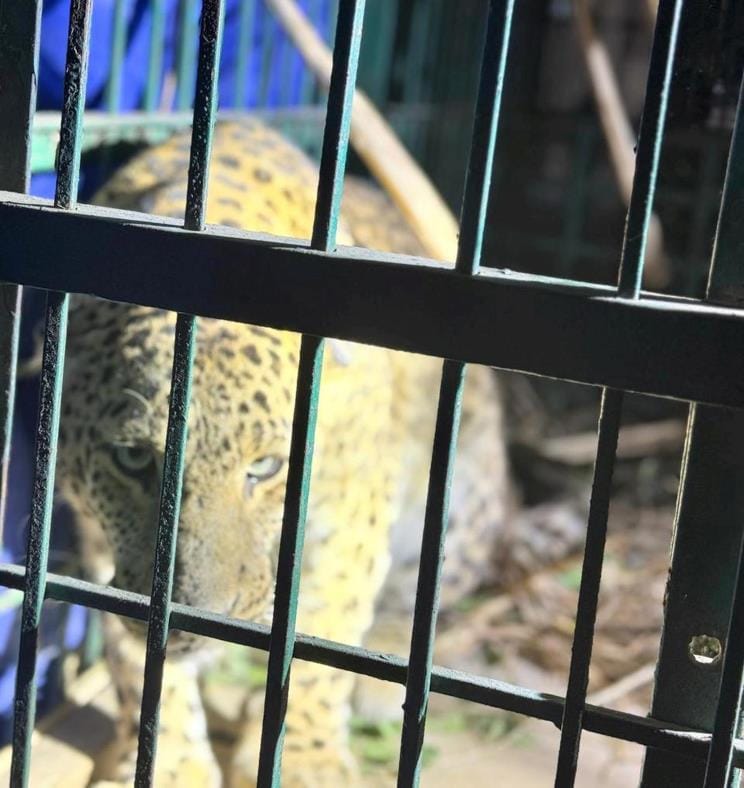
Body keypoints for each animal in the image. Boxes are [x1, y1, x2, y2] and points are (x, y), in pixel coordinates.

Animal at [50, 119, 578, 787]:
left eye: (266, 468)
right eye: (133, 460)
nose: (192, 616)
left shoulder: (348, 519)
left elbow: (320, 637)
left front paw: (306, 760)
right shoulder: (100, 537)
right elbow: (132, 654)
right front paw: (168, 763)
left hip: (462, 507)